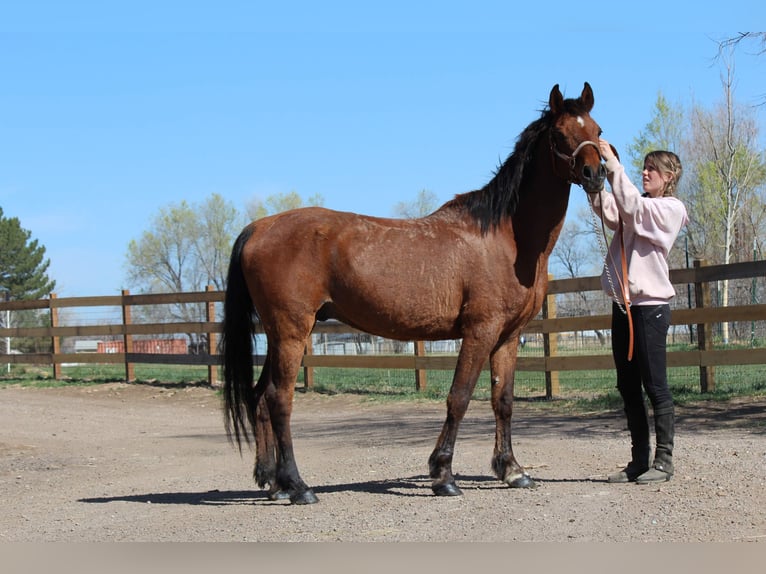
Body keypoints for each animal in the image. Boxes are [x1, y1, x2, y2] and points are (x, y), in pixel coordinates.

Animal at [222, 82, 605, 504]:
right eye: (559, 134)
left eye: (598, 130)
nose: (596, 174)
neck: (506, 237)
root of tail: (257, 228)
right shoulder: (480, 331)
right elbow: (459, 397)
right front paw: (443, 476)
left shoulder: (509, 336)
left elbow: (502, 401)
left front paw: (512, 470)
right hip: (291, 332)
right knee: (280, 399)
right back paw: (299, 486)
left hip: (279, 336)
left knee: (260, 397)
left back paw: (275, 484)